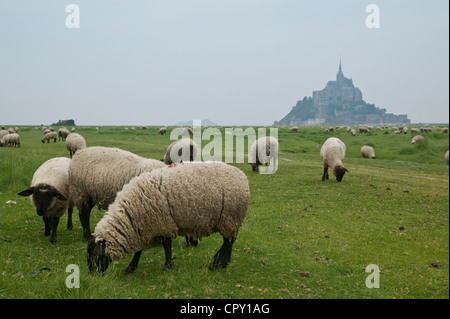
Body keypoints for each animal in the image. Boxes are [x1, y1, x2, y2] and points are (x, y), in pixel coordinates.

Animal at [87, 162, 250, 276]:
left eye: (95, 255)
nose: (93, 275)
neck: (131, 214)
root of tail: (242, 175)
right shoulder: (145, 228)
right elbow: (140, 250)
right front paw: (131, 267)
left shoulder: (162, 223)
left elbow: (166, 245)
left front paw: (167, 265)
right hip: (230, 221)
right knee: (229, 241)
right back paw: (224, 262)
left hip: (230, 218)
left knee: (228, 242)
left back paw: (217, 264)